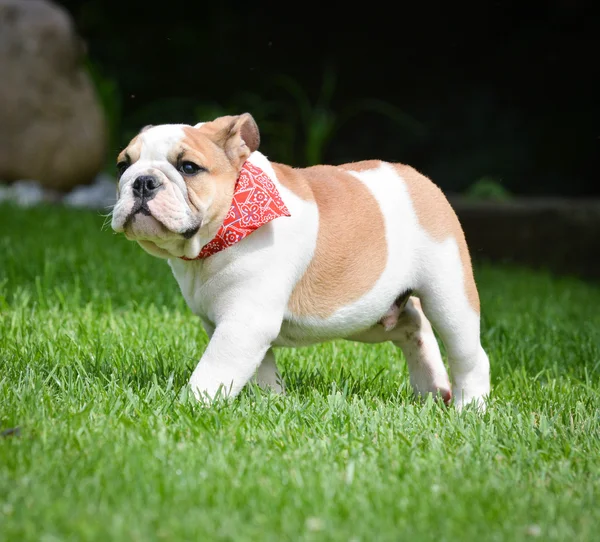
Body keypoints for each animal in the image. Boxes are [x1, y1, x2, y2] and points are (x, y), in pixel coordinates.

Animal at [110, 113, 490, 408]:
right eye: (123, 165)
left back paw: (469, 407)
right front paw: (271, 400)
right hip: (365, 315)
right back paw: (431, 388)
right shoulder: (228, 324)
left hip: (449, 297)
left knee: (468, 354)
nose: (142, 181)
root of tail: (420, 179)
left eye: (188, 167)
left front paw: (190, 405)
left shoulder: (244, 322)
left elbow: (213, 369)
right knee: (413, 323)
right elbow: (260, 367)